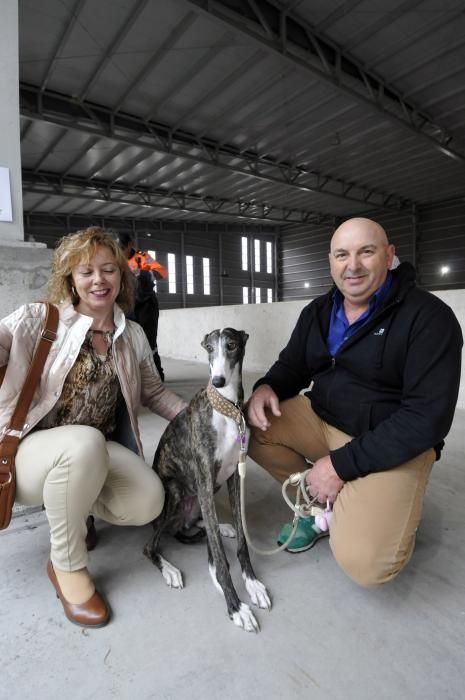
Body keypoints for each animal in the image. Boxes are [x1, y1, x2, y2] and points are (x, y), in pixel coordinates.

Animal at [143, 330, 270, 636]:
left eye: (232, 345)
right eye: (209, 348)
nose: (218, 381)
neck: (226, 410)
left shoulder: (234, 476)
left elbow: (241, 543)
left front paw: (252, 583)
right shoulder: (204, 477)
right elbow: (221, 560)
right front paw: (236, 606)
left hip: (207, 493)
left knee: (197, 524)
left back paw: (222, 528)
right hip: (177, 492)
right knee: (151, 546)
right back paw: (170, 569)